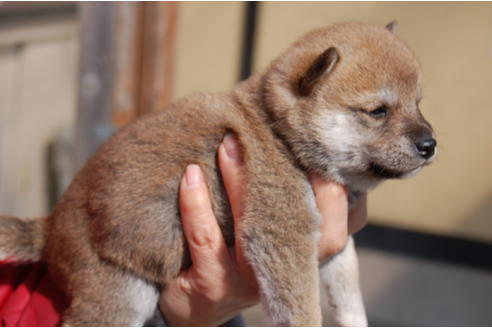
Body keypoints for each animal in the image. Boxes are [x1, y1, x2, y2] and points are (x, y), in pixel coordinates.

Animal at [0, 21, 438, 326]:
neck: (278, 133)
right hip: (120, 290)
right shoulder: (285, 233)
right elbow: (304, 306)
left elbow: (349, 289)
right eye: (378, 111)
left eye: (418, 103)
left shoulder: (335, 240)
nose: (430, 144)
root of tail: (52, 226)